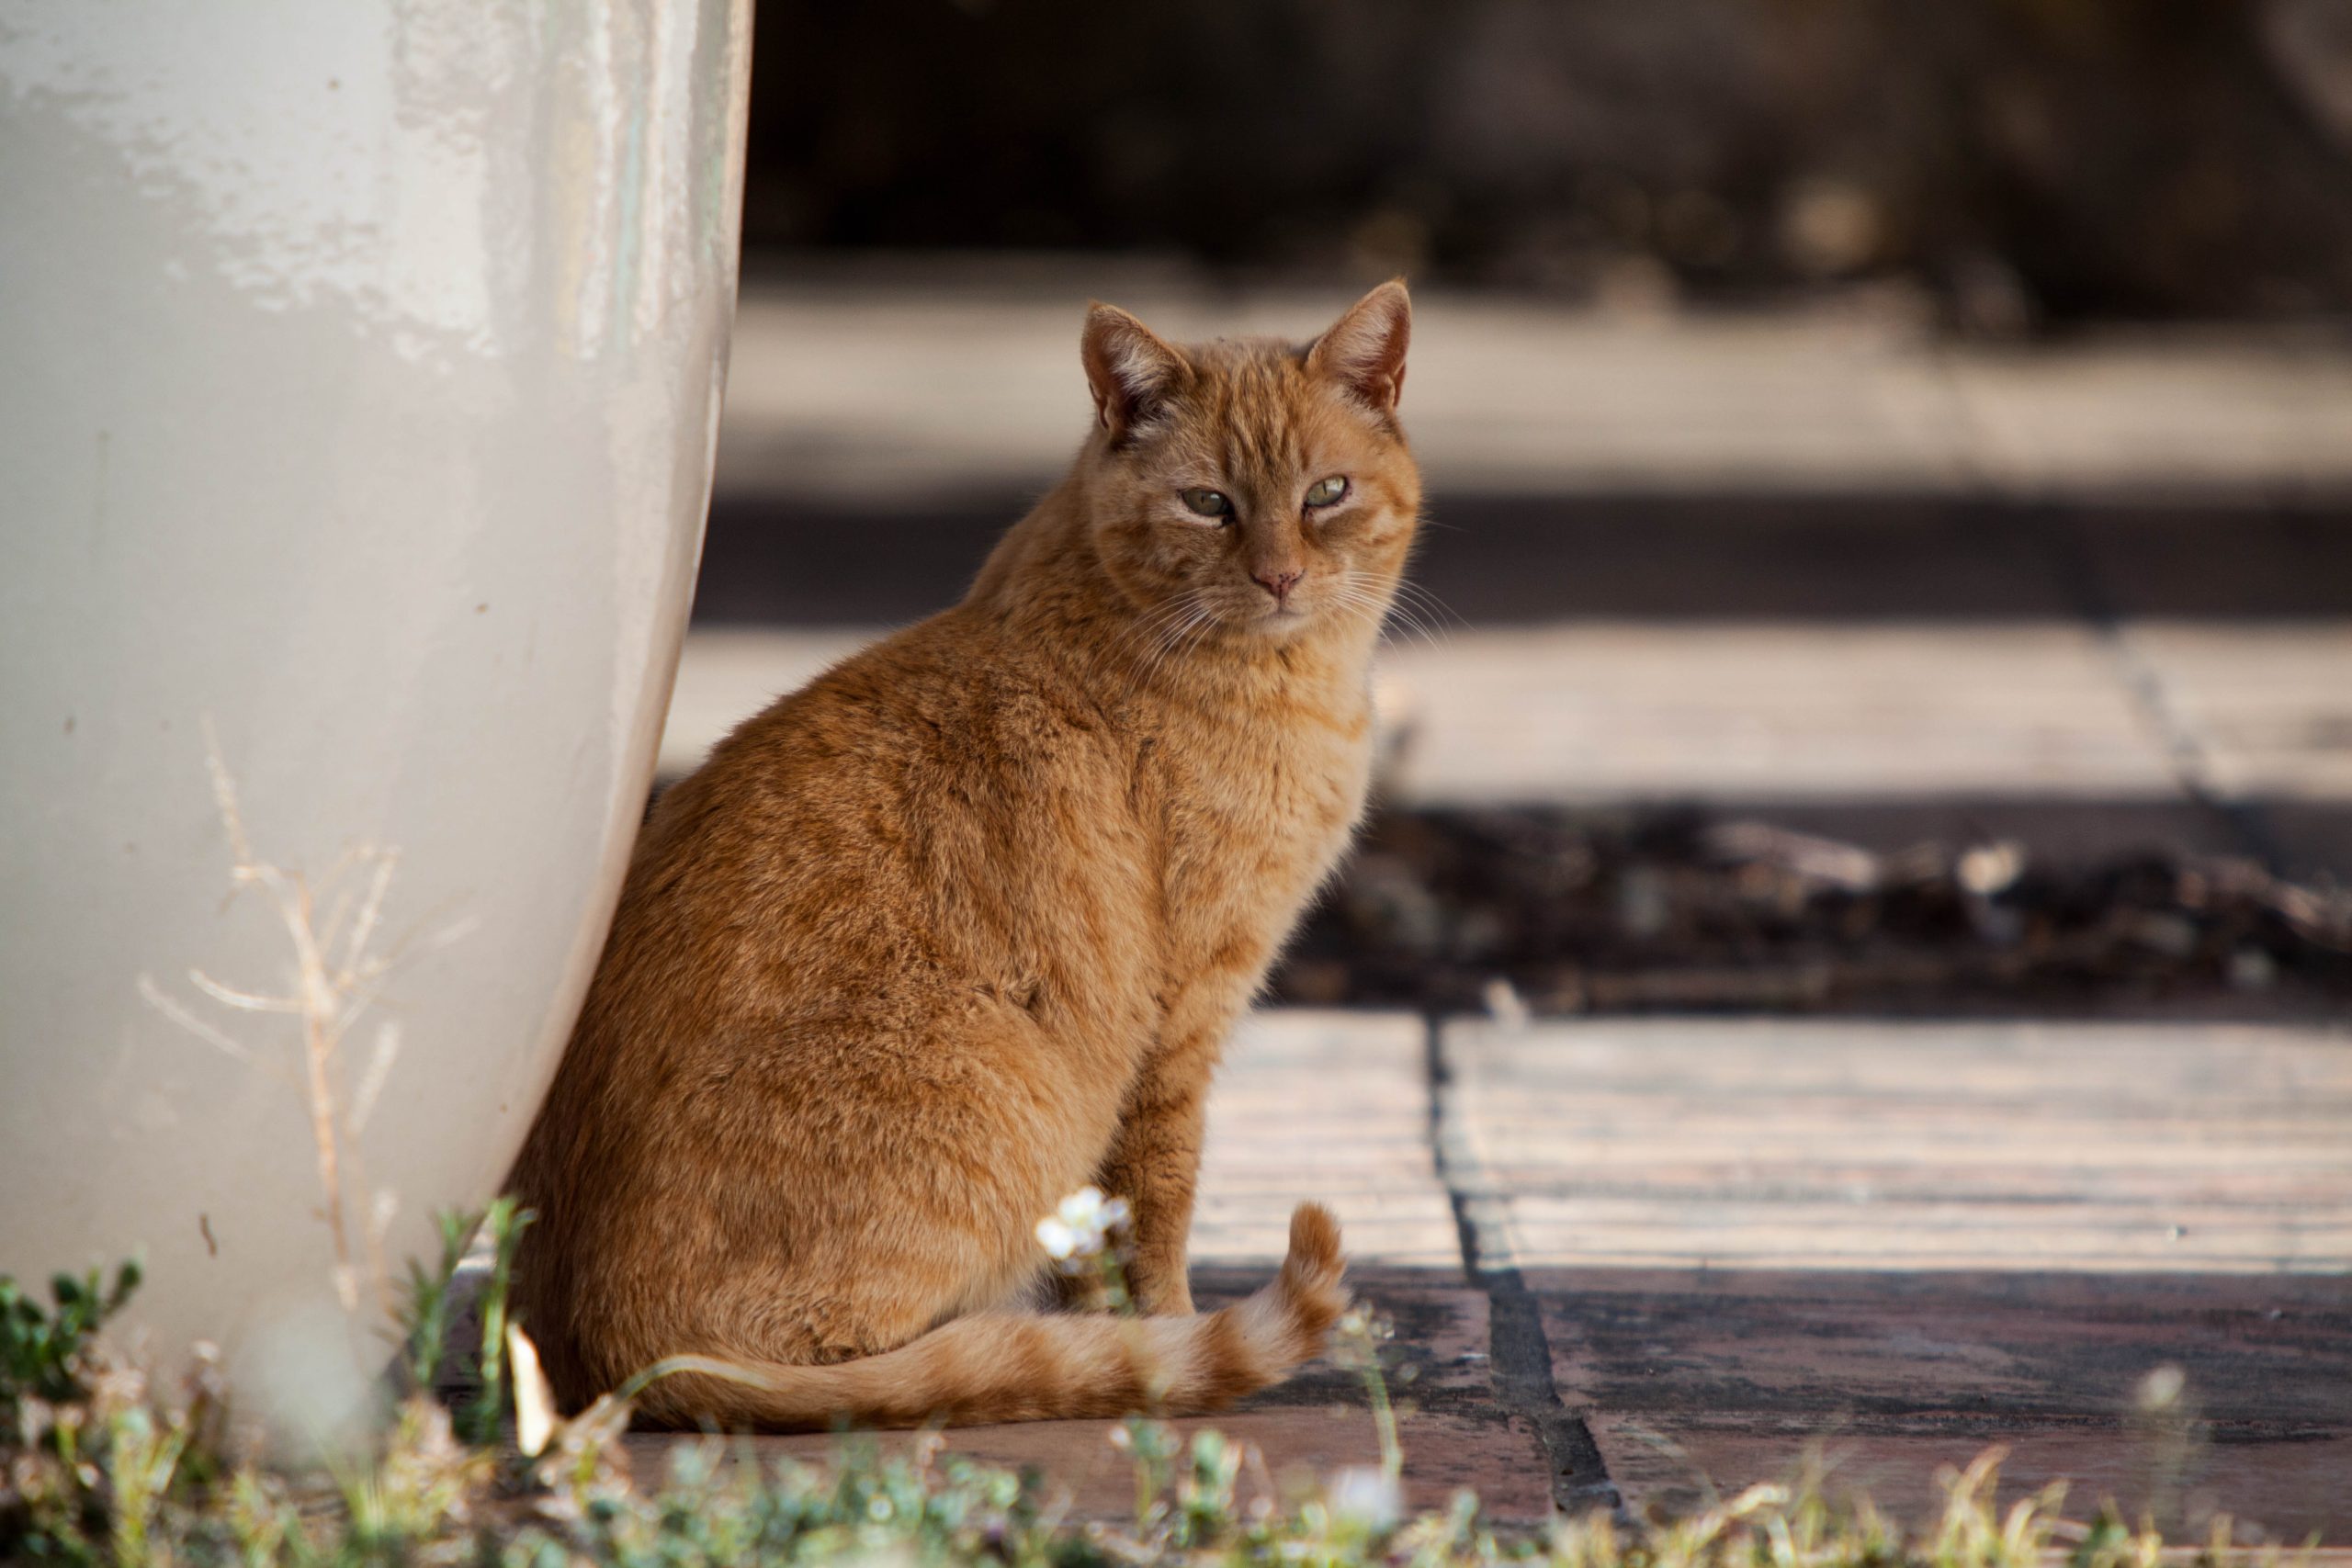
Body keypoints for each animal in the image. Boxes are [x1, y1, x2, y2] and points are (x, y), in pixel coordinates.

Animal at [513, 276, 1420, 1429]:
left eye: (1326, 493)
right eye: (1209, 503)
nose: (1280, 576)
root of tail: (608, 1349)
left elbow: (1105, 1242)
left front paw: (1120, 1333)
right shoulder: (1180, 1014)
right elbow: (1159, 1205)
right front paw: (1158, 1339)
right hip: (1012, 1099)